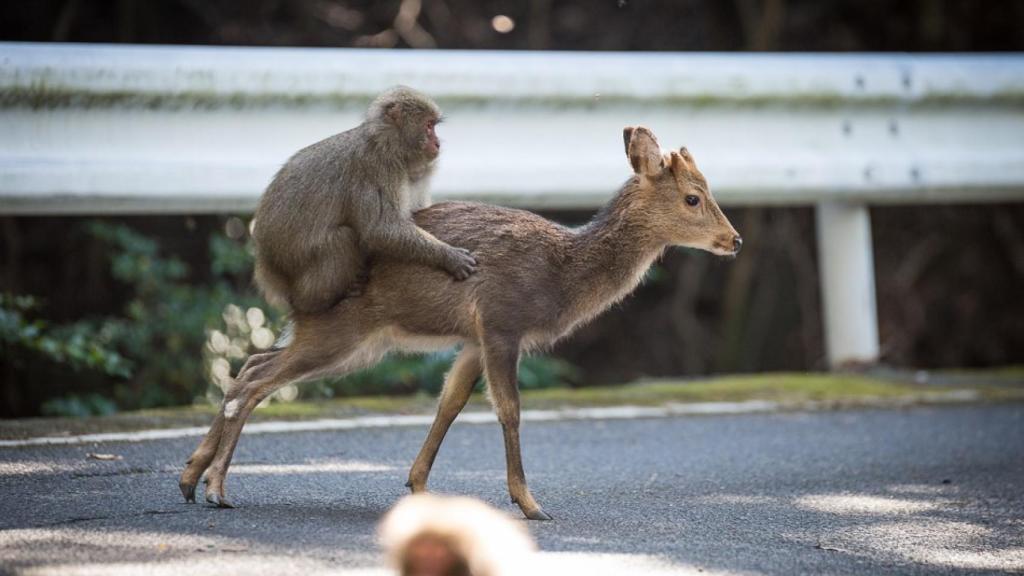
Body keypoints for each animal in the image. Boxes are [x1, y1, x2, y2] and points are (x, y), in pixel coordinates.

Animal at [180, 126, 741, 520]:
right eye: (693, 197)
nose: (734, 240)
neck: (560, 275)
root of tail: (291, 287)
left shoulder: (473, 339)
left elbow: (449, 403)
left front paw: (418, 486)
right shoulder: (501, 321)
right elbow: (509, 410)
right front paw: (531, 504)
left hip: (351, 341)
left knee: (252, 362)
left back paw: (190, 478)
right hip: (342, 331)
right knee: (255, 379)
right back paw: (217, 489)